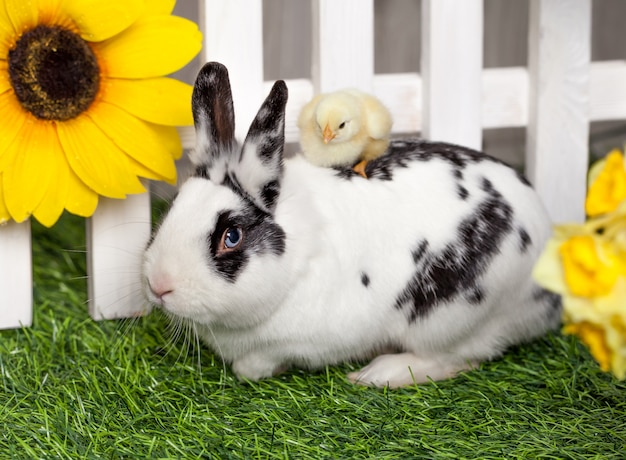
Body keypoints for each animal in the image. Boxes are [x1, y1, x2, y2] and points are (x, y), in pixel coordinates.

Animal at [143, 62, 560, 388]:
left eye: (231, 237)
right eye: (174, 207)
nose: (158, 285)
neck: (301, 254)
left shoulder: (304, 342)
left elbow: (255, 365)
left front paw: (255, 368)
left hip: (451, 319)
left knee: (459, 357)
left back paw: (380, 373)